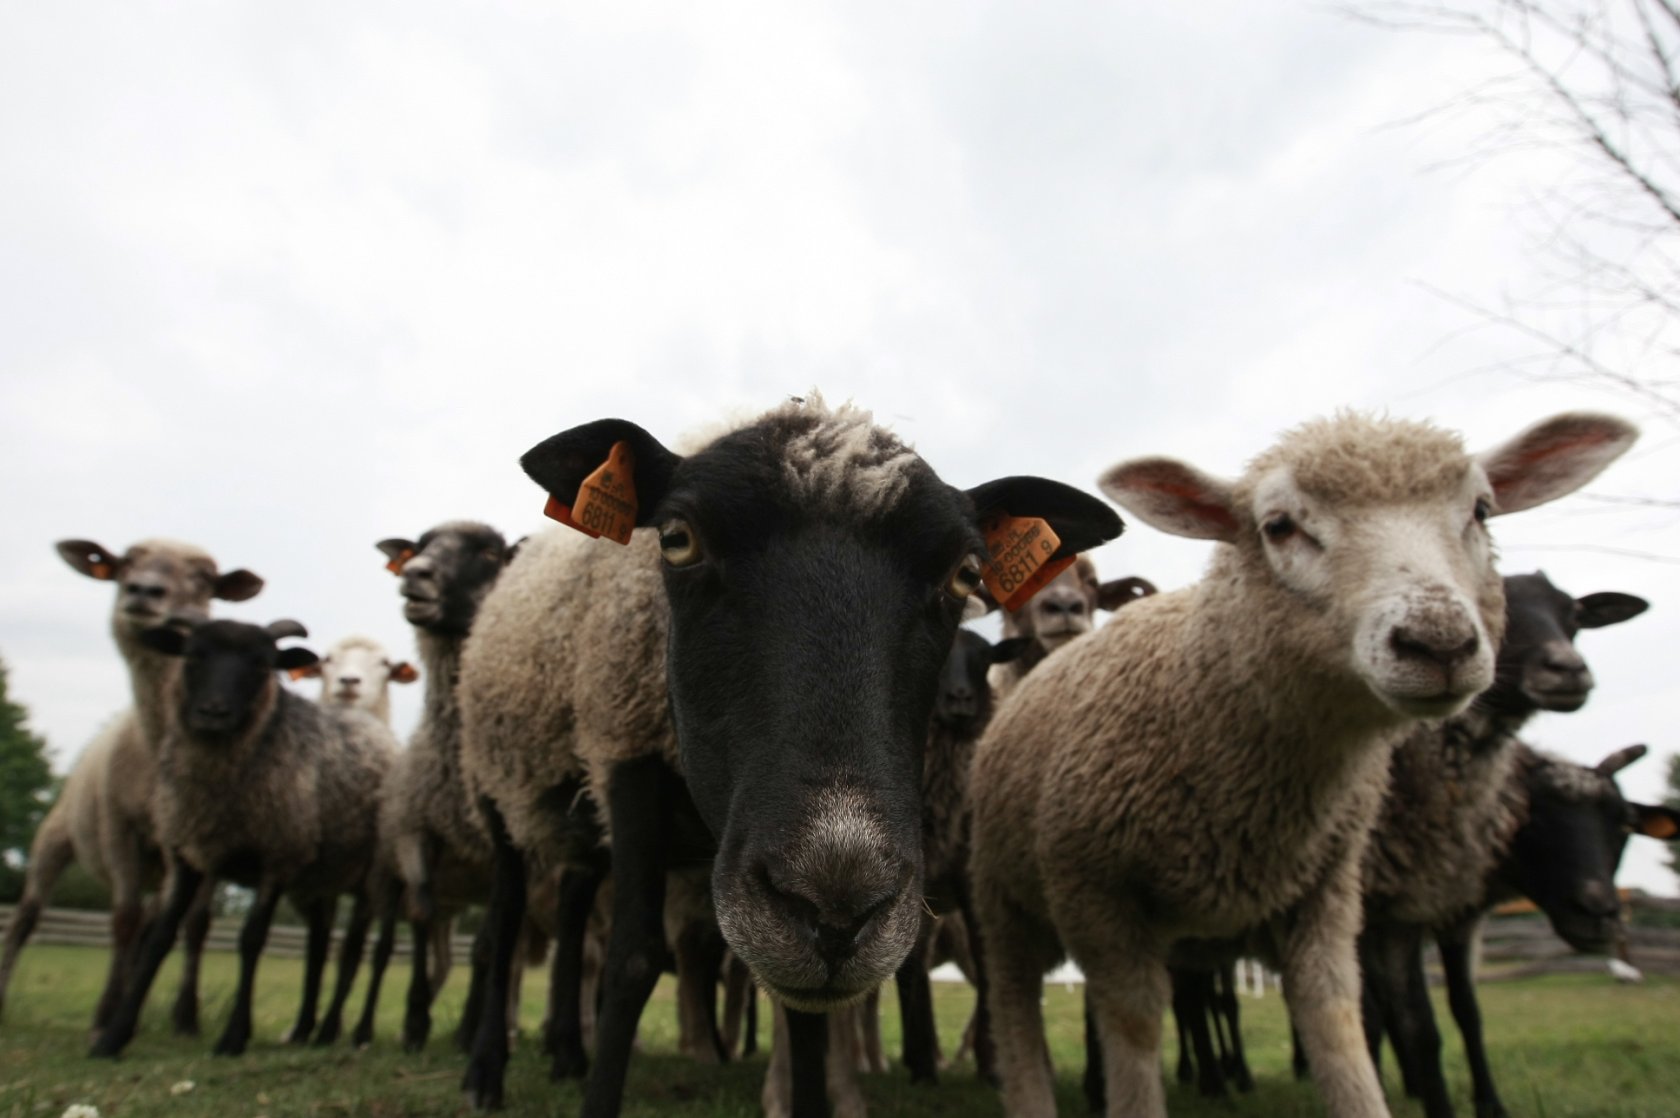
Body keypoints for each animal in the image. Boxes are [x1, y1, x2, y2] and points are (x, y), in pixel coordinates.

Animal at [92, 615, 403, 1062]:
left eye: (261, 664)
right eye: (193, 655)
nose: (213, 712)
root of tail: (378, 731)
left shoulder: (277, 855)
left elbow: (251, 939)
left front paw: (234, 1037)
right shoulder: (188, 854)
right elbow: (160, 938)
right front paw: (113, 1037)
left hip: (375, 876)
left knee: (361, 949)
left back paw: (342, 1031)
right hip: (317, 881)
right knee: (320, 944)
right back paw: (306, 1029)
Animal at [453, 390, 1122, 1109]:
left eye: (967, 574)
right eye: (677, 540)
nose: (837, 912)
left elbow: (802, 1016)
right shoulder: (625, 758)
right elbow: (633, 959)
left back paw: (565, 1055)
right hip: (497, 790)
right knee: (502, 926)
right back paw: (484, 1071)